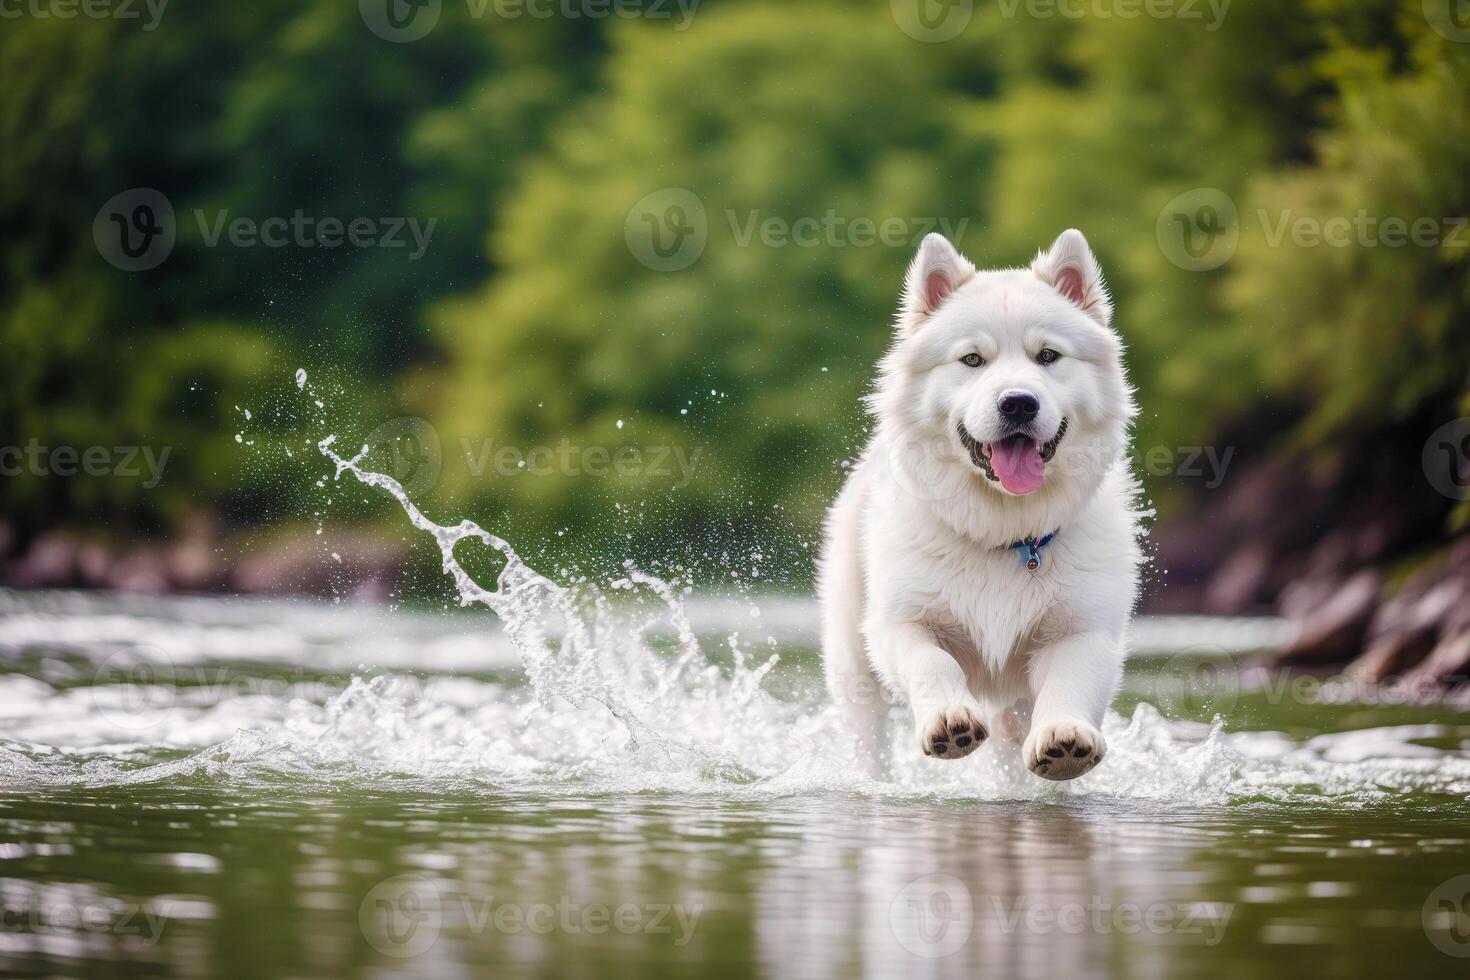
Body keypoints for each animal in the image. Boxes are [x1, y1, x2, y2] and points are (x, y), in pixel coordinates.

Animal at [817, 230, 1146, 781]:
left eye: (1048, 356)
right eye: (972, 360)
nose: (1018, 402)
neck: (1005, 533)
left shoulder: (1083, 628)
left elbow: (1071, 682)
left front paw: (1065, 740)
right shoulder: (901, 622)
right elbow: (933, 664)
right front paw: (949, 723)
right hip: (852, 662)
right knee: (867, 733)